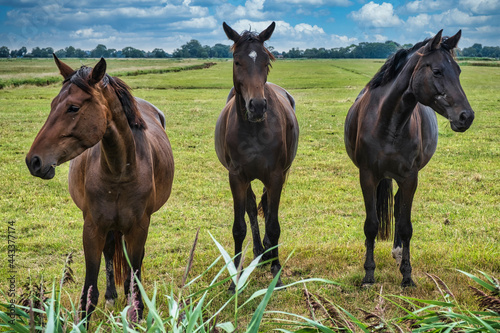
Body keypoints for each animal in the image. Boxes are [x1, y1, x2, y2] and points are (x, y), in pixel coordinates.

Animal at [25, 55, 174, 320]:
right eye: (53, 104)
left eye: (73, 108)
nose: (34, 160)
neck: (120, 170)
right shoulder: (93, 228)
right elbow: (89, 294)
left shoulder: (139, 227)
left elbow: (135, 276)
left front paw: (135, 308)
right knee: (111, 251)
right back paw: (112, 295)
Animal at [346, 29, 474, 286]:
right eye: (437, 71)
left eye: (458, 71)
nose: (466, 116)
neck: (388, 122)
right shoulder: (367, 176)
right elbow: (371, 225)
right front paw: (368, 274)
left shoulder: (409, 178)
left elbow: (405, 226)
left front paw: (407, 275)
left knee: (397, 206)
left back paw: (397, 253)